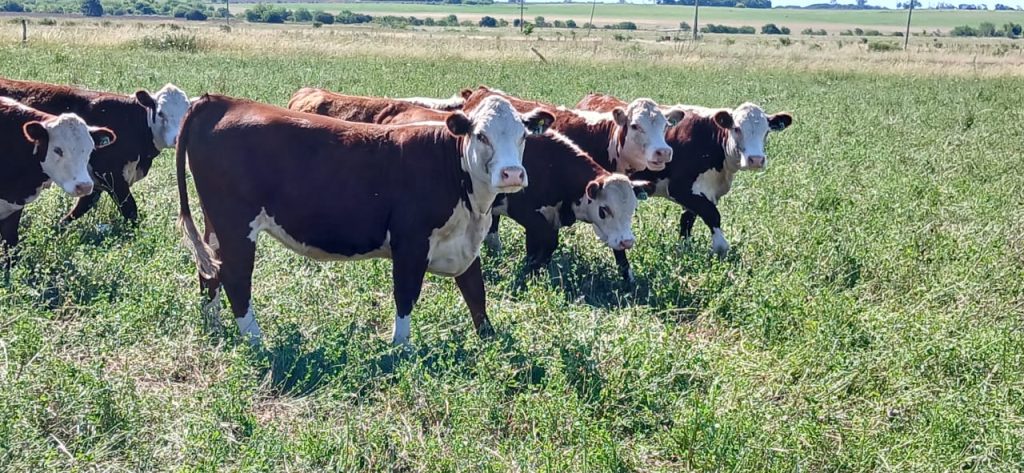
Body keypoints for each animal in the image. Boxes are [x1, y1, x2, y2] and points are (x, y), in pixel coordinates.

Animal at [0, 78, 189, 224]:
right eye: (161, 112)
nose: (177, 138)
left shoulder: (95, 182)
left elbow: (82, 207)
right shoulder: (111, 176)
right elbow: (130, 210)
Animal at [176, 94, 554, 345]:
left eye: (522, 135)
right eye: (481, 135)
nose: (512, 173)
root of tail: (220, 101)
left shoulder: (463, 244)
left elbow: (476, 293)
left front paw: (491, 340)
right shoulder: (410, 241)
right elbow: (405, 294)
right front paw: (401, 348)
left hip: (215, 224)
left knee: (210, 268)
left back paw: (213, 325)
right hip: (237, 224)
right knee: (236, 277)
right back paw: (256, 340)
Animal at [287, 89, 646, 281]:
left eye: (631, 210)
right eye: (604, 209)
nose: (627, 241)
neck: (551, 164)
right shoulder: (530, 214)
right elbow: (542, 246)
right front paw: (526, 276)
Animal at [576, 93, 794, 278]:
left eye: (766, 131)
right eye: (737, 128)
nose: (756, 159)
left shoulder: (703, 192)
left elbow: (687, 220)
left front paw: (684, 251)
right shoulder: (681, 188)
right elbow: (712, 214)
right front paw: (720, 248)